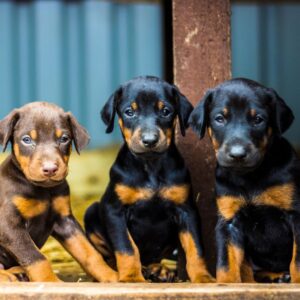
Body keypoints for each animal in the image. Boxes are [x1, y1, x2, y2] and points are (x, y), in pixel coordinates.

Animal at [0, 102, 118, 282]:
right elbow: (35, 257)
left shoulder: (65, 220)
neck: (44, 191)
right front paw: (50, 281)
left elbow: (89, 253)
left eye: (64, 139)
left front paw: (112, 276)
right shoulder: (8, 224)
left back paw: (18, 272)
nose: (50, 169)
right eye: (26, 140)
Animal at [84, 76, 214, 282]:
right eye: (129, 112)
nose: (150, 140)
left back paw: (157, 269)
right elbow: (126, 248)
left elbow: (196, 248)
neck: (150, 165)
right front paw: (131, 277)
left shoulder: (187, 210)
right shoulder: (115, 210)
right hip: (91, 212)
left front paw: (203, 277)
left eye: (165, 111)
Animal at [190, 78, 300, 284]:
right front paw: (227, 285)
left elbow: (297, 260)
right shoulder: (229, 221)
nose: (237, 154)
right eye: (219, 118)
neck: (250, 177)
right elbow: (226, 263)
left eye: (258, 120)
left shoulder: (295, 214)